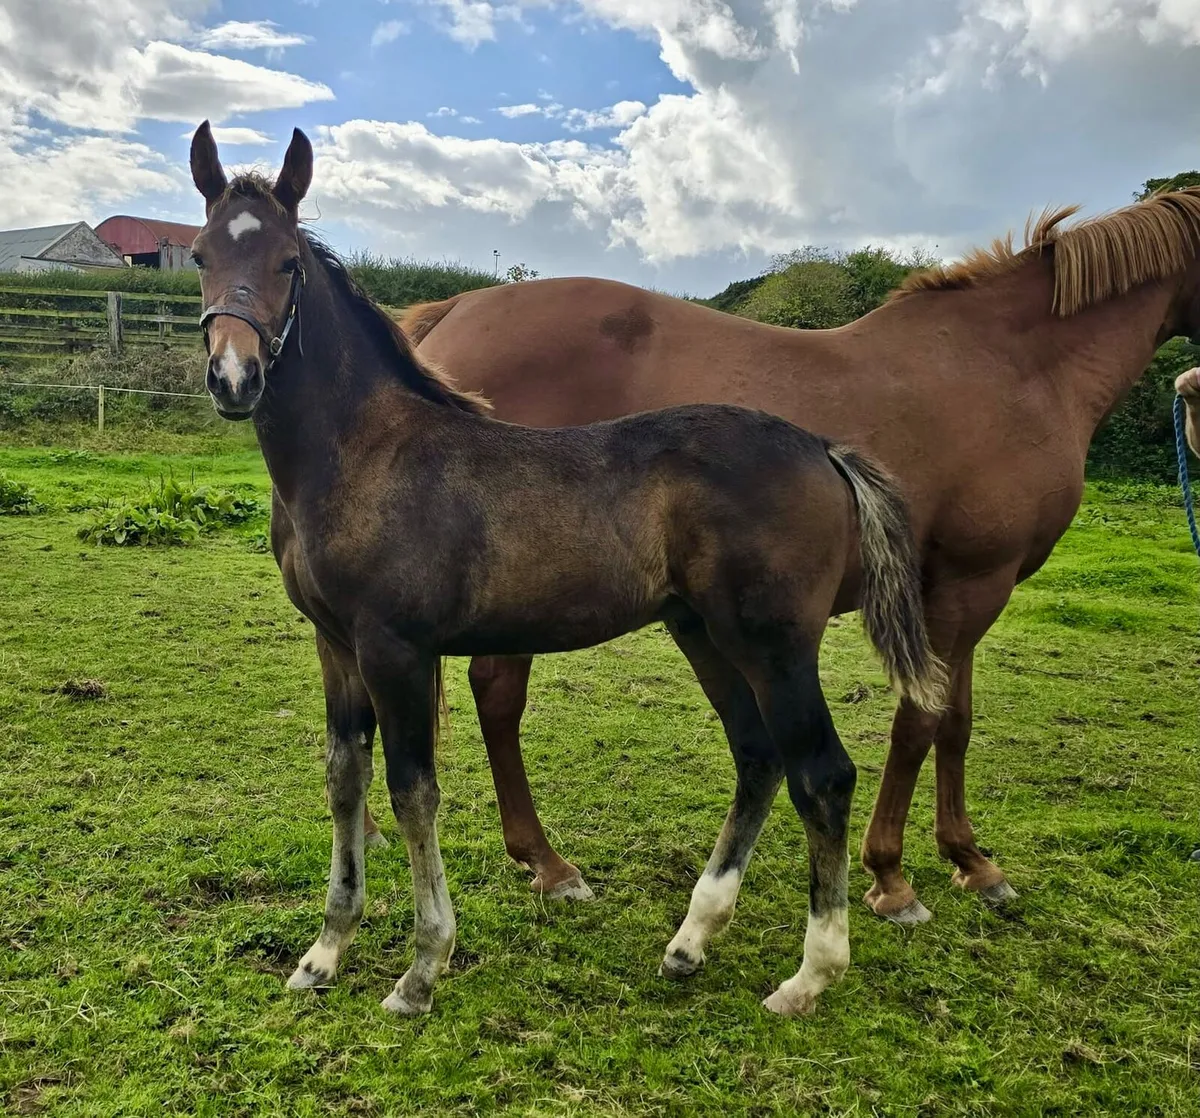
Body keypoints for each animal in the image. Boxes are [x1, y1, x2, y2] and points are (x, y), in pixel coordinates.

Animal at [187, 121, 947, 1016]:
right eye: (199, 254)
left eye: (287, 263)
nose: (234, 377)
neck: (366, 455)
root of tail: (824, 450)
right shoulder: (335, 644)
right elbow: (347, 779)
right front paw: (323, 953)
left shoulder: (395, 647)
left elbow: (413, 791)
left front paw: (422, 969)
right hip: (704, 633)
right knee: (758, 757)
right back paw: (691, 939)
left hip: (776, 642)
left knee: (821, 774)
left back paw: (808, 976)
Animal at [393, 188, 1200, 921]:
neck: (1011, 366)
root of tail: (458, 309)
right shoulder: (973, 583)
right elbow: (919, 720)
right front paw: (891, 876)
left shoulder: (962, 588)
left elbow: (956, 720)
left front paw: (971, 860)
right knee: (500, 693)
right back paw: (549, 863)